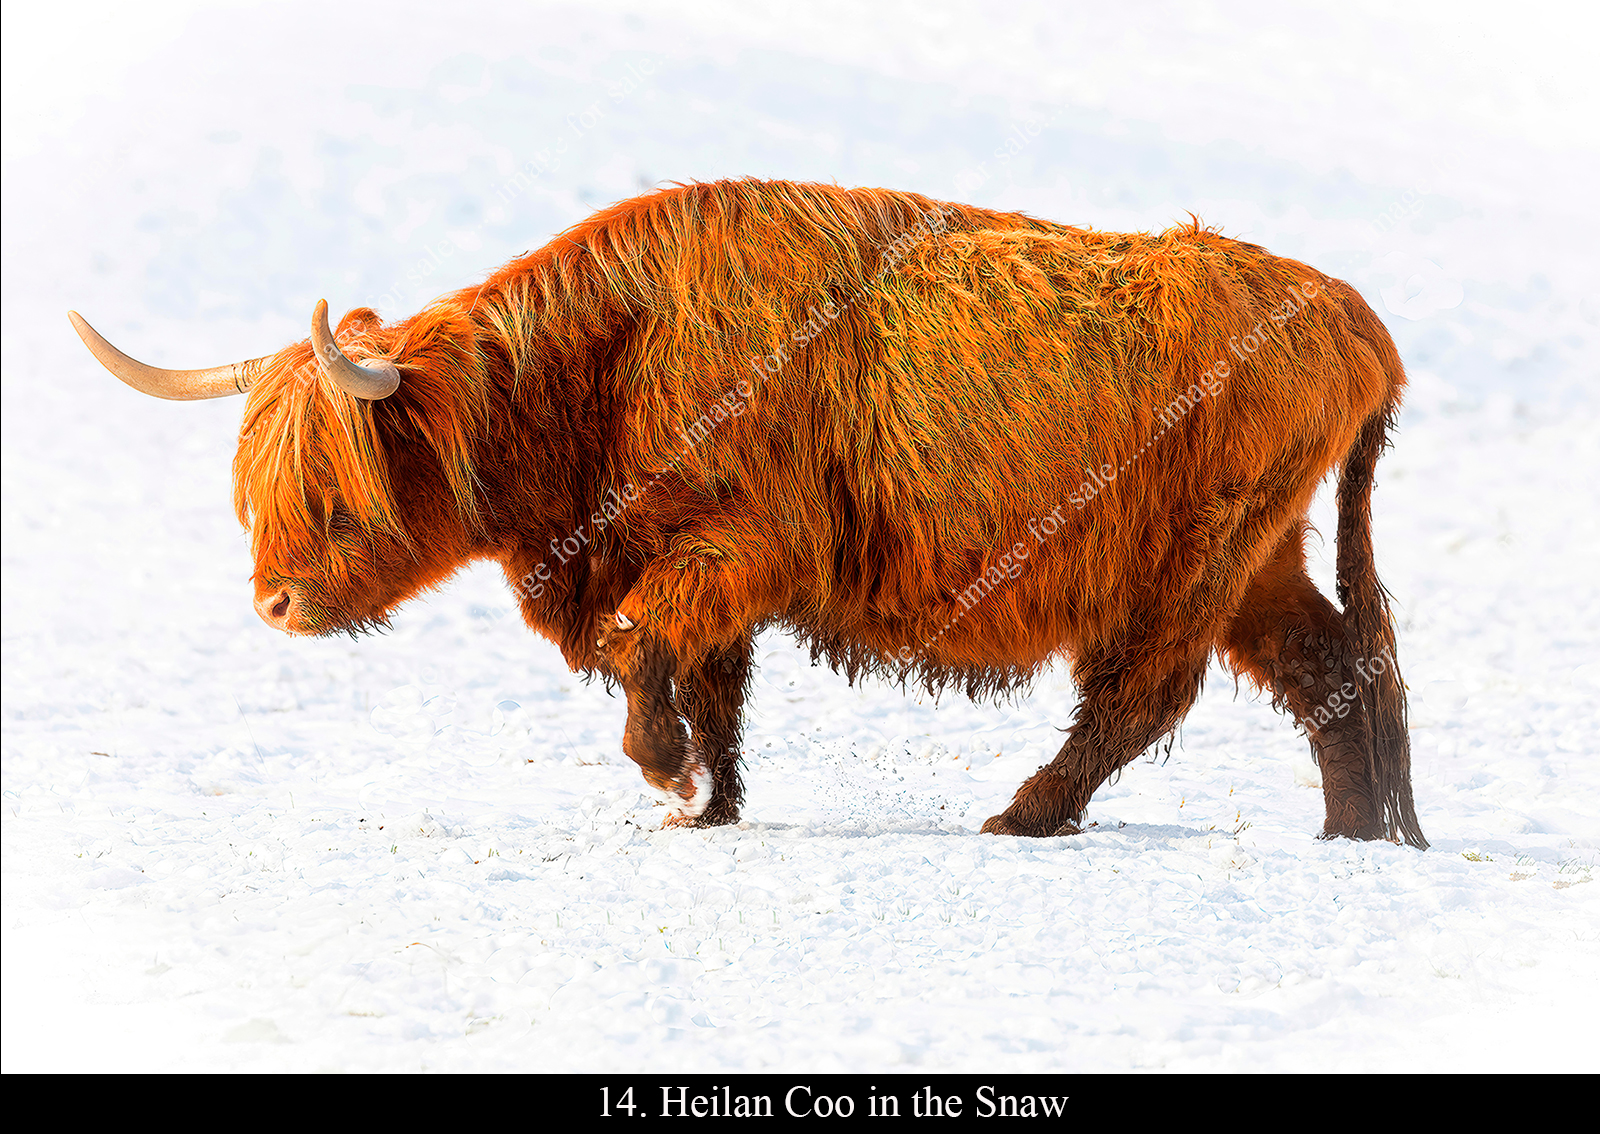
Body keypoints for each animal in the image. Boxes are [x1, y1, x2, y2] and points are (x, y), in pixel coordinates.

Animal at [70, 178, 1426, 847]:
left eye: (333, 488)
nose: (274, 602)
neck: (607, 359)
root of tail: (1350, 315)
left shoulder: (734, 545)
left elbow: (644, 642)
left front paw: (668, 775)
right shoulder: (696, 563)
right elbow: (703, 673)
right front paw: (706, 801)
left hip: (1194, 558)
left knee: (1147, 693)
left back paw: (1025, 817)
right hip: (1258, 560)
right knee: (1333, 669)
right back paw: (1355, 836)